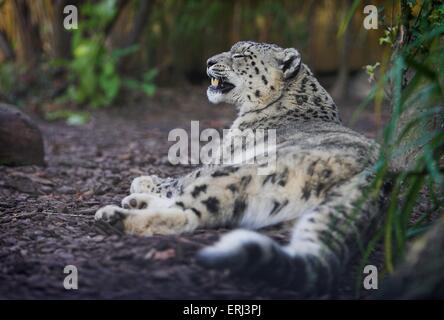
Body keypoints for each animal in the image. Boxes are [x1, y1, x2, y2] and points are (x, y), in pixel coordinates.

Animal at [96, 42, 382, 296]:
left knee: (190, 213)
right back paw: (134, 203)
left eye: (241, 54)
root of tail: (375, 182)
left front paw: (143, 180)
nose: (208, 61)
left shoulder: (221, 159)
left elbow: (182, 178)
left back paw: (114, 216)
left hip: (236, 172)